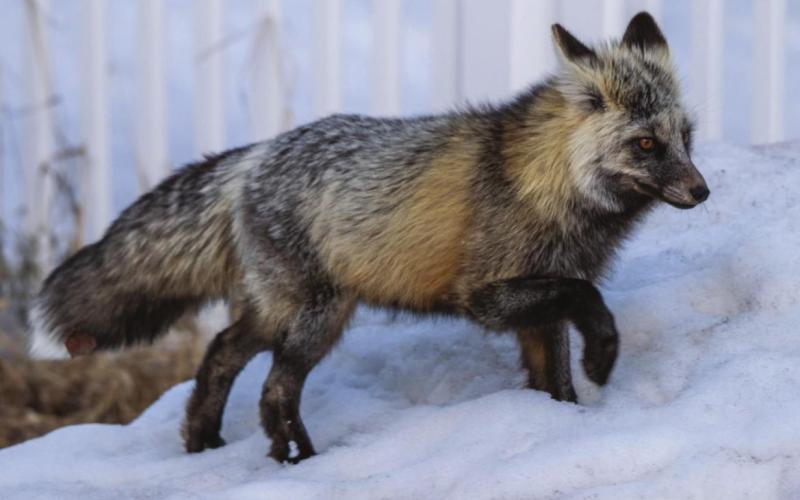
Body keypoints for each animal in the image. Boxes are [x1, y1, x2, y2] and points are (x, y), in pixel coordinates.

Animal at [29, 12, 708, 463]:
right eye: (645, 144)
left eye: (685, 138)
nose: (703, 192)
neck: (545, 184)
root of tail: (256, 155)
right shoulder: (489, 296)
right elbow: (587, 303)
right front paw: (603, 357)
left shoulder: (539, 310)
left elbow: (557, 384)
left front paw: (565, 426)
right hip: (314, 317)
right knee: (273, 389)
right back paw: (300, 460)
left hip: (285, 314)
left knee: (222, 355)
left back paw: (206, 443)